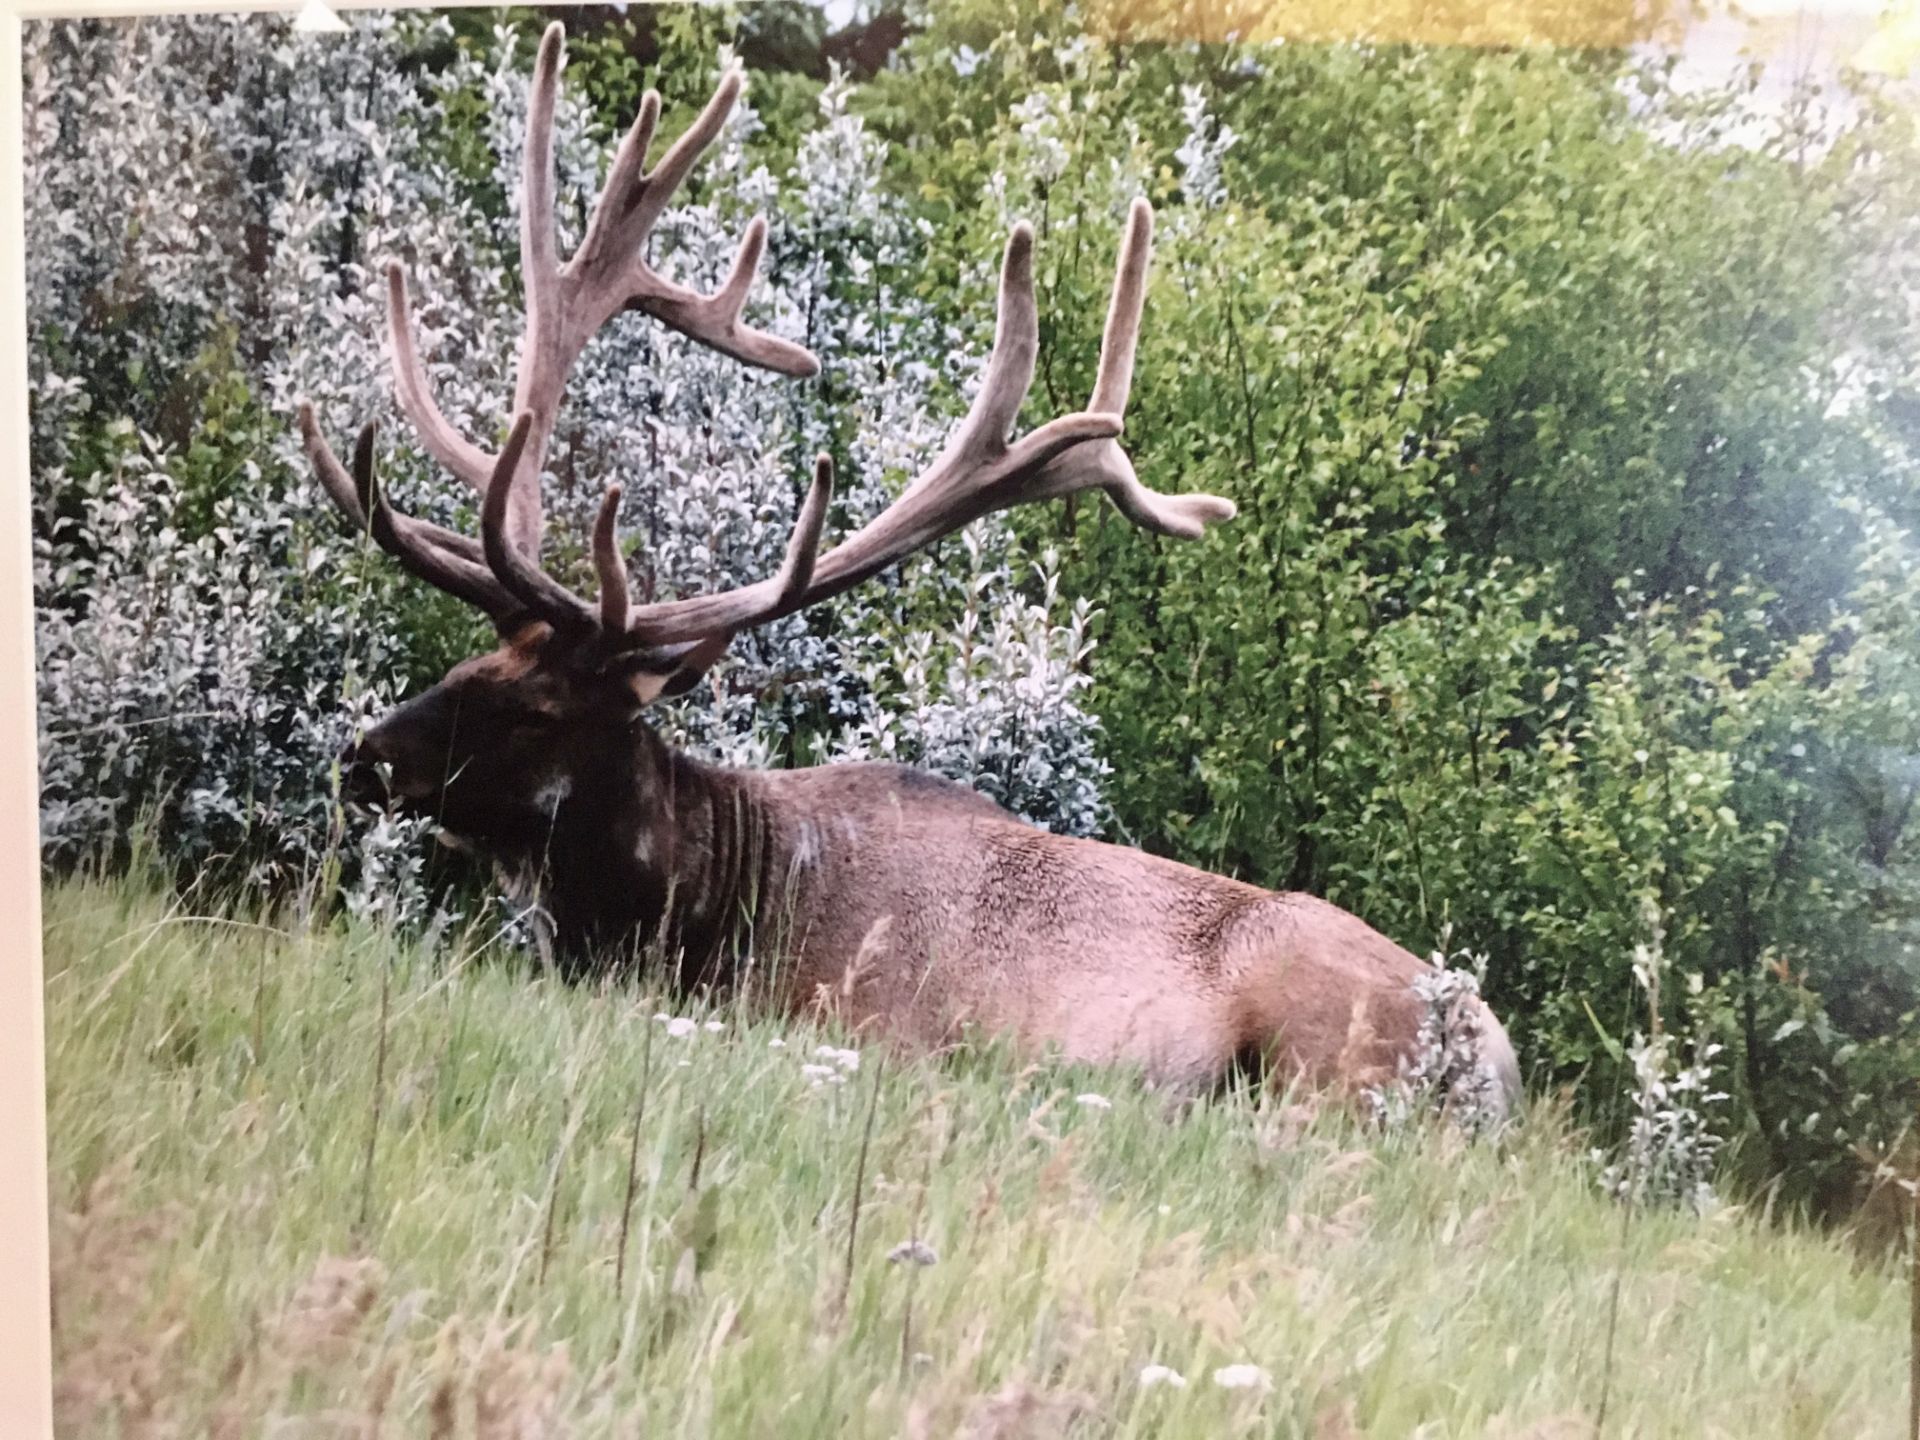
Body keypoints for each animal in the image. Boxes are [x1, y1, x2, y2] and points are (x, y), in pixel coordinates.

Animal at [295, 28, 1512, 1121]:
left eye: (537, 706)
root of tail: (1493, 1063)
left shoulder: (869, 1020)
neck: (704, 911)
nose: (364, 756)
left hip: (1315, 1047)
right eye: (469, 662)